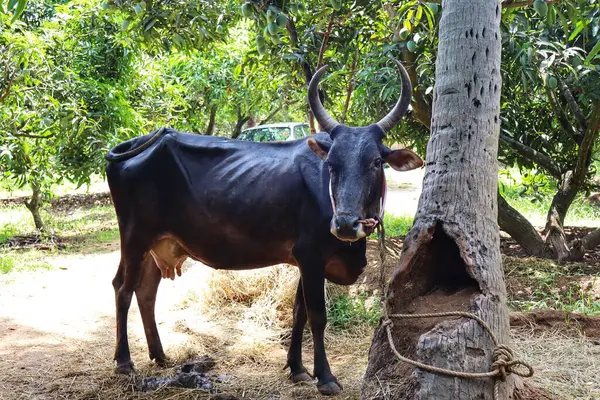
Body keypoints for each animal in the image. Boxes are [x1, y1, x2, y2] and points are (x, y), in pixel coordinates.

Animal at [105, 59, 422, 394]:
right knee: (122, 289)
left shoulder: (304, 261)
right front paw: (324, 376)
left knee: (145, 291)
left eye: (375, 162)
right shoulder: (311, 256)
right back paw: (124, 361)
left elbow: (299, 313)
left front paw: (297, 368)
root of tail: (140, 142)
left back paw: (159, 354)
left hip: (157, 243)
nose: (346, 224)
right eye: (332, 164)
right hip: (134, 237)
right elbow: (317, 316)